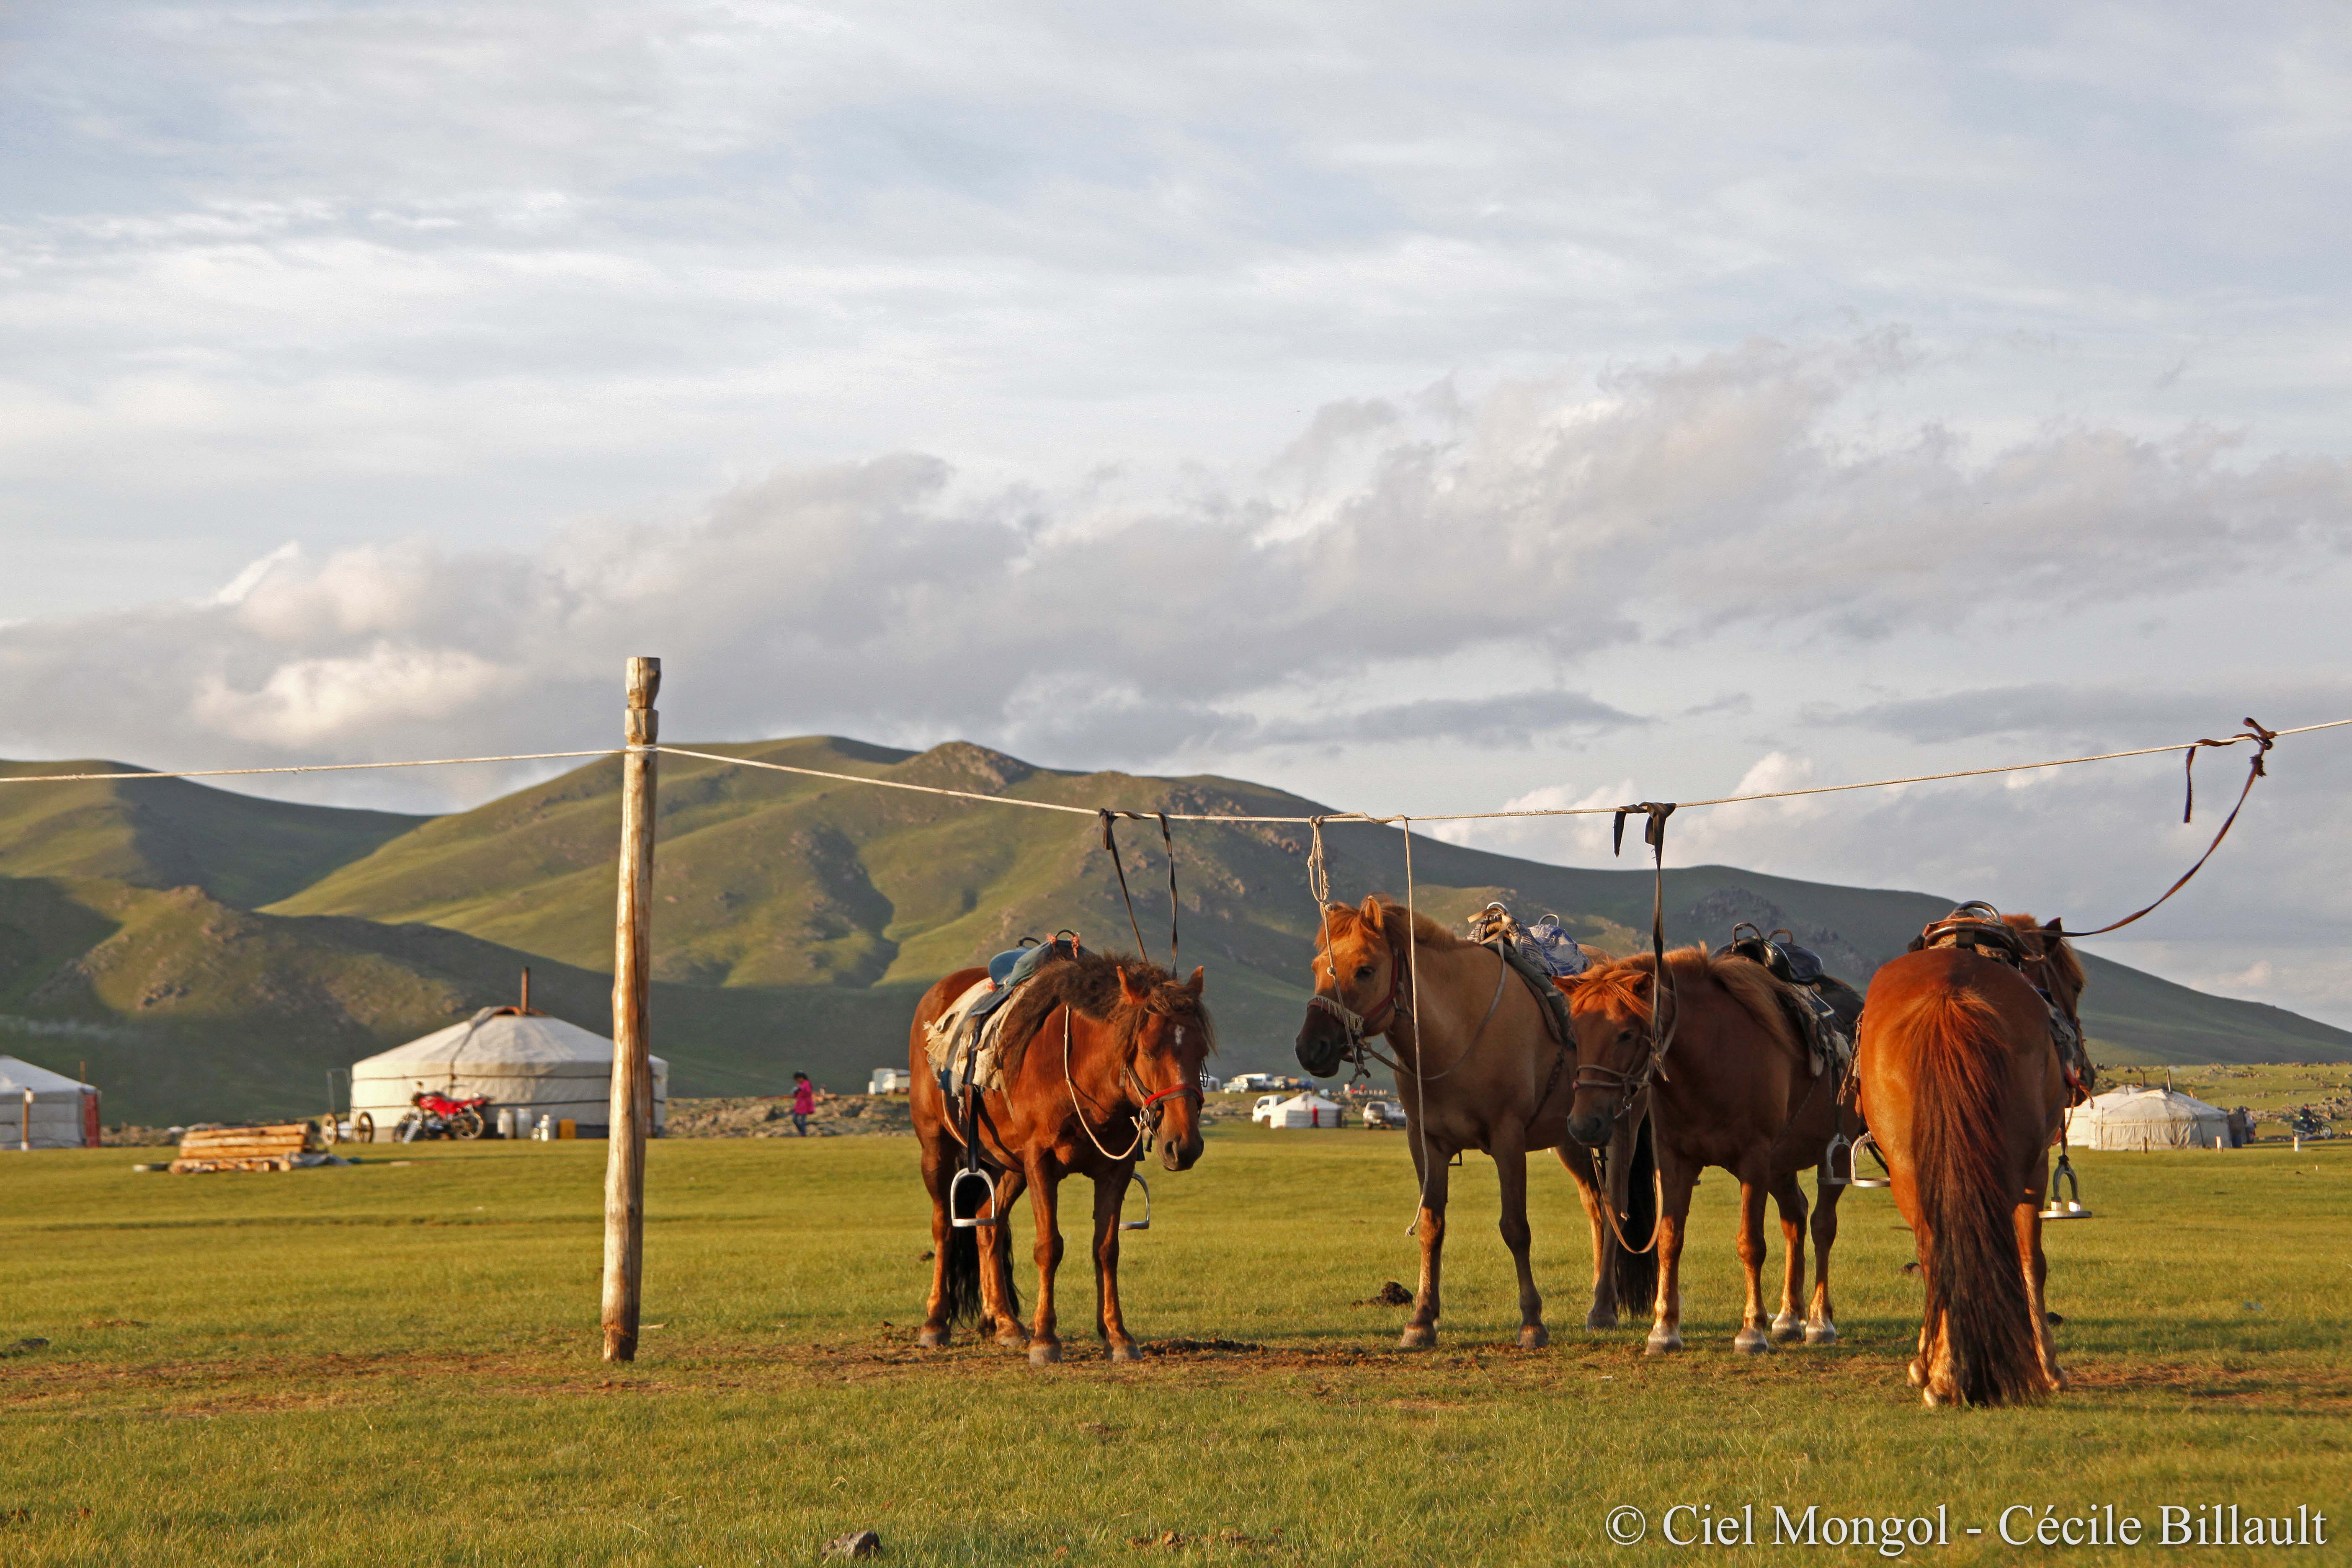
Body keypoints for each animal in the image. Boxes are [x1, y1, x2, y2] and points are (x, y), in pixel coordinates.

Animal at [908, 949, 1213, 1363]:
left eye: (1201, 1052)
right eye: (1149, 1050)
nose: (1184, 1145)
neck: (1083, 1074)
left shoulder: (1115, 1169)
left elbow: (1107, 1248)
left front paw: (1117, 1335)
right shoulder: (1041, 1163)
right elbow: (1048, 1247)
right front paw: (1046, 1339)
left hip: (1009, 1166)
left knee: (989, 1225)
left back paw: (1004, 1322)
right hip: (937, 1148)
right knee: (944, 1226)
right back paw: (936, 1323)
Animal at [1289, 893, 1656, 1354]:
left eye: (1366, 970)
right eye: (1317, 967)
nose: (1310, 1048)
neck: (1456, 1032)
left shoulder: (1508, 1139)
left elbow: (1515, 1228)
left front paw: (1532, 1323)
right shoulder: (1425, 1143)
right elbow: (1431, 1227)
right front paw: (1421, 1321)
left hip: (1622, 1127)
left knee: (1616, 1208)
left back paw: (1604, 1308)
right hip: (1574, 1137)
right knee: (1595, 1206)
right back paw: (1597, 1296)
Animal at [1562, 945, 1853, 1363]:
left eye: (1626, 1033)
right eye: (1575, 1035)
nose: (1584, 1125)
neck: (1712, 1061)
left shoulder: (1753, 1162)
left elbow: (1751, 1244)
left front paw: (1751, 1330)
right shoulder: (1674, 1161)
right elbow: (1669, 1240)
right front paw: (1664, 1330)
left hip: (1835, 1157)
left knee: (1822, 1226)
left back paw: (1819, 1321)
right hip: (1781, 1166)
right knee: (1795, 1219)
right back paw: (1788, 1317)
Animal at [1862, 912, 2089, 1401]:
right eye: (2076, 985)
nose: (2083, 1074)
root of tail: (1948, 998)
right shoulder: (2036, 1167)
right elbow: (2032, 1261)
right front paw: (2049, 1367)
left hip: (1908, 1167)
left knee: (1934, 1253)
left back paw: (1942, 1372)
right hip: (2014, 1163)